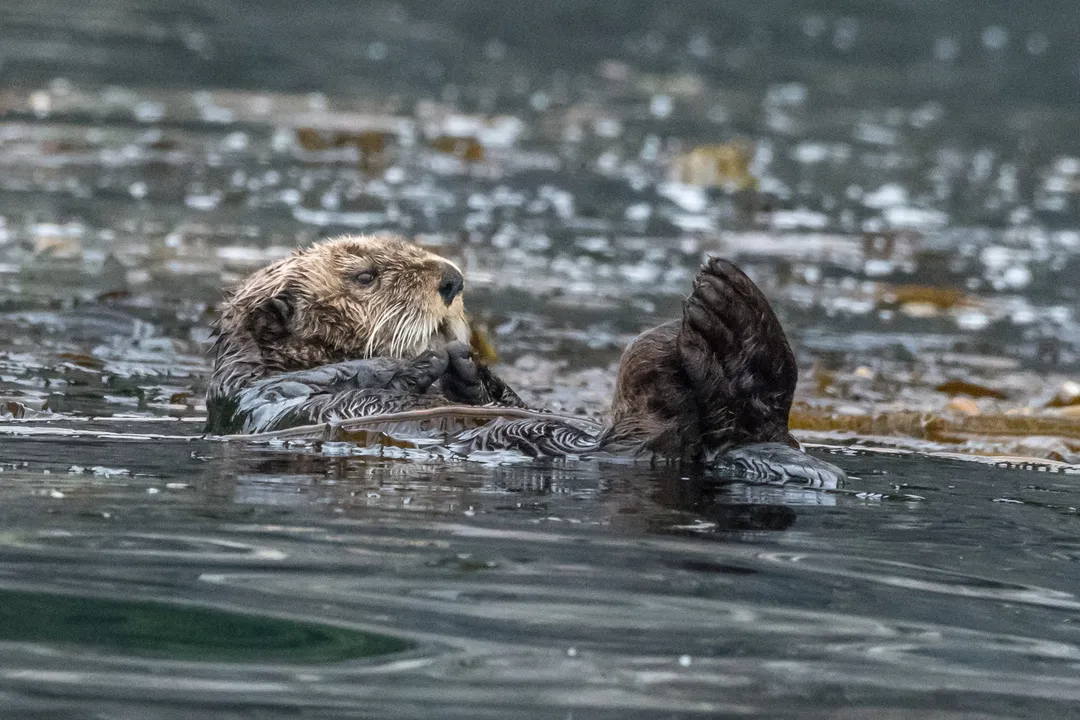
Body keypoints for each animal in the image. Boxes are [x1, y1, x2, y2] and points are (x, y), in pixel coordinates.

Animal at [206, 234, 842, 483]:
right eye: (365, 276)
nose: (452, 279)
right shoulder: (257, 395)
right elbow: (325, 378)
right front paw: (420, 364)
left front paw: (467, 371)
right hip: (641, 435)